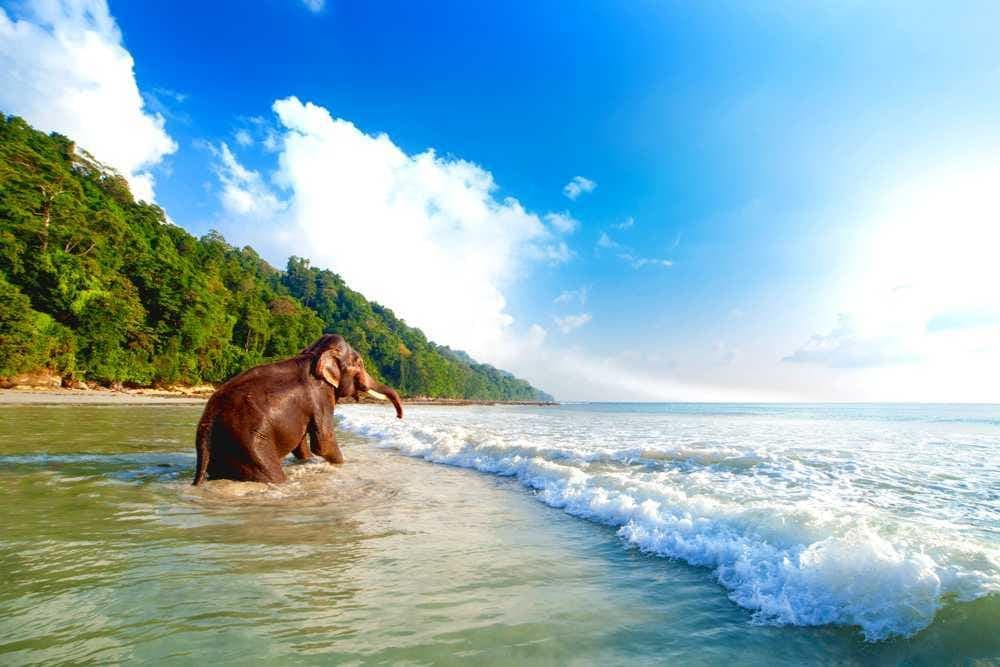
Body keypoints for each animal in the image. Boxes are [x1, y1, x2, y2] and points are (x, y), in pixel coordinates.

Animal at [192, 334, 403, 485]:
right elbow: (323, 442)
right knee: (272, 475)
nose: (399, 417)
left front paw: (309, 461)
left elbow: (302, 442)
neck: (314, 354)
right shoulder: (320, 395)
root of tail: (208, 423)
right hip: (250, 447)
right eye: (359, 364)